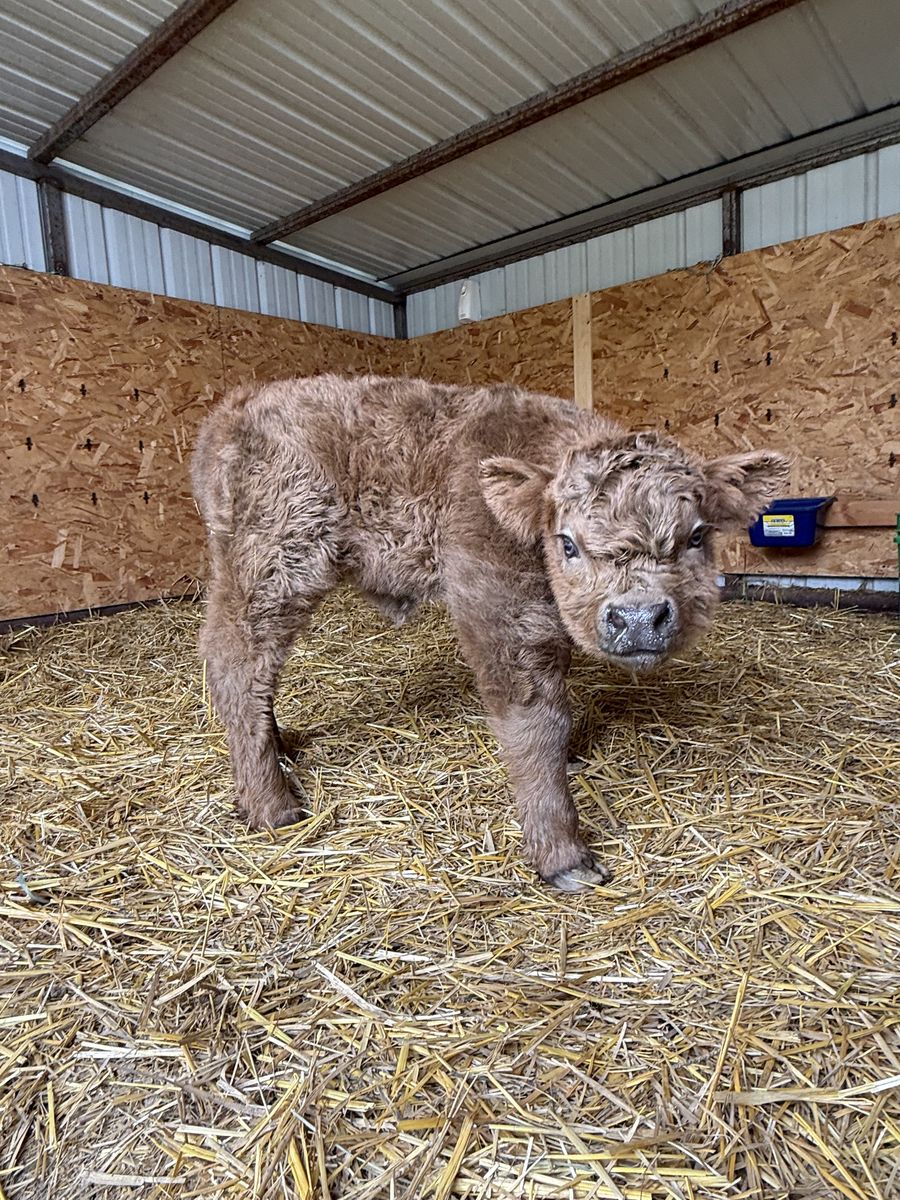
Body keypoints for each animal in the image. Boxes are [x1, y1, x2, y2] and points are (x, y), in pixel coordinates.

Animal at [191, 374, 788, 891]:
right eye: (567, 543)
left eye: (696, 537)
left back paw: (277, 748)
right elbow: (536, 723)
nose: (639, 616)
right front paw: (561, 853)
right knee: (236, 662)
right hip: (273, 557)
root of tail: (235, 406)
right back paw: (270, 803)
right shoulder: (496, 604)